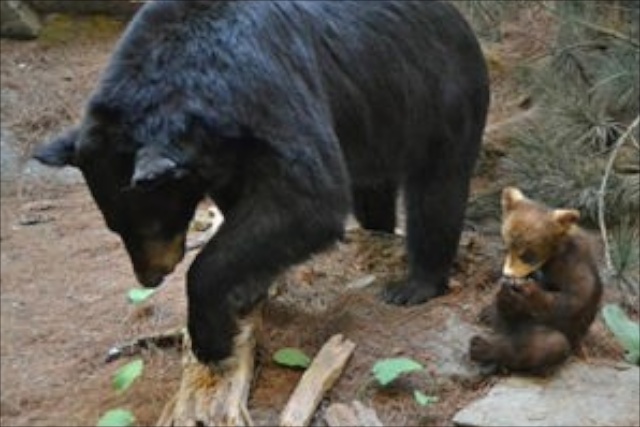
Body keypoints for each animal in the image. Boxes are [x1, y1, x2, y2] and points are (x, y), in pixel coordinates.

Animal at [32, 0, 488, 364]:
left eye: (150, 223)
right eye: (115, 227)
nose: (151, 276)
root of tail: (460, 20)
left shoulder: (269, 88)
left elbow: (310, 195)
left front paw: (211, 339)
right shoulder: (230, 151)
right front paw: (248, 290)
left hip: (438, 97)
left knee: (437, 192)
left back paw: (413, 285)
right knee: (372, 192)